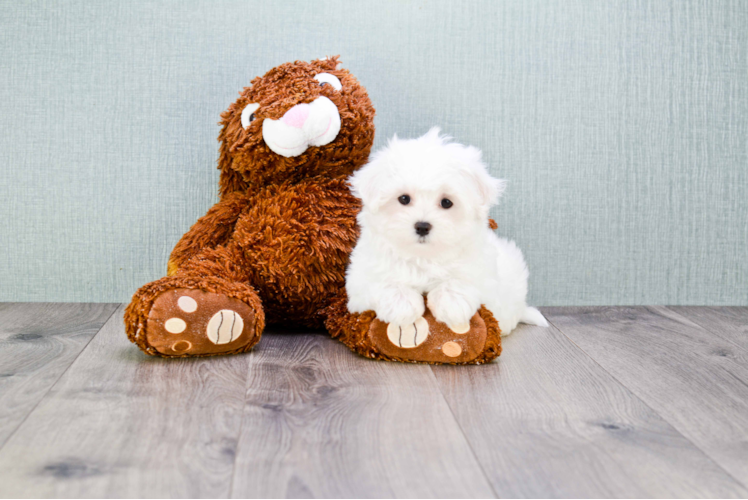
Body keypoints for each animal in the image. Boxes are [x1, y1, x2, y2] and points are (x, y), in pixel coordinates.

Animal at [346, 127, 548, 336]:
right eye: (403, 199)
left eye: (446, 202)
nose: (422, 226)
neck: (423, 257)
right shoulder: (359, 282)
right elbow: (382, 281)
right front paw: (402, 306)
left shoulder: (484, 274)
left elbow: (463, 279)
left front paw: (451, 304)